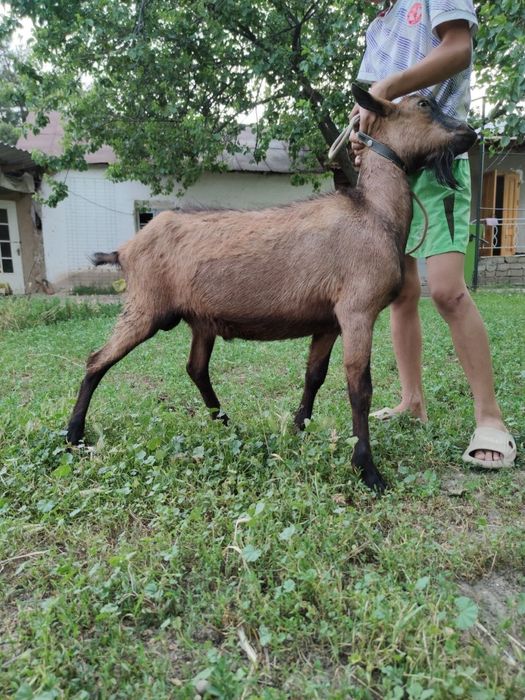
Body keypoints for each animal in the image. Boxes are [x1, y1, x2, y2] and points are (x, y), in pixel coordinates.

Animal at [67, 84, 477, 491]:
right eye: (423, 104)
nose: (470, 133)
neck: (374, 213)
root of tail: (125, 249)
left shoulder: (328, 321)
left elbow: (315, 375)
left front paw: (299, 427)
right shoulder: (357, 309)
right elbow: (359, 387)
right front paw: (367, 469)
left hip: (200, 320)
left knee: (195, 368)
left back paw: (225, 422)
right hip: (146, 307)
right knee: (97, 360)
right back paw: (74, 435)